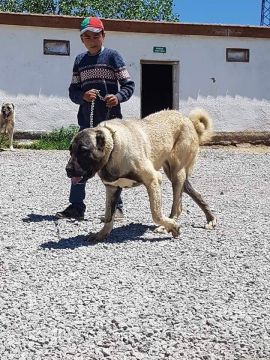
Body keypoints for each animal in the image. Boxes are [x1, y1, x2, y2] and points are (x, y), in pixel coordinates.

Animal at [66, 108, 216, 240]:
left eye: (83, 150)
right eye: (70, 150)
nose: (67, 169)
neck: (113, 148)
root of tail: (189, 121)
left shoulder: (153, 179)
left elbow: (156, 214)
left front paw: (173, 227)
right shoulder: (112, 188)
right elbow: (109, 215)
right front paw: (102, 234)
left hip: (177, 173)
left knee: (177, 207)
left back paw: (168, 225)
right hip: (174, 174)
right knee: (195, 194)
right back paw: (211, 219)